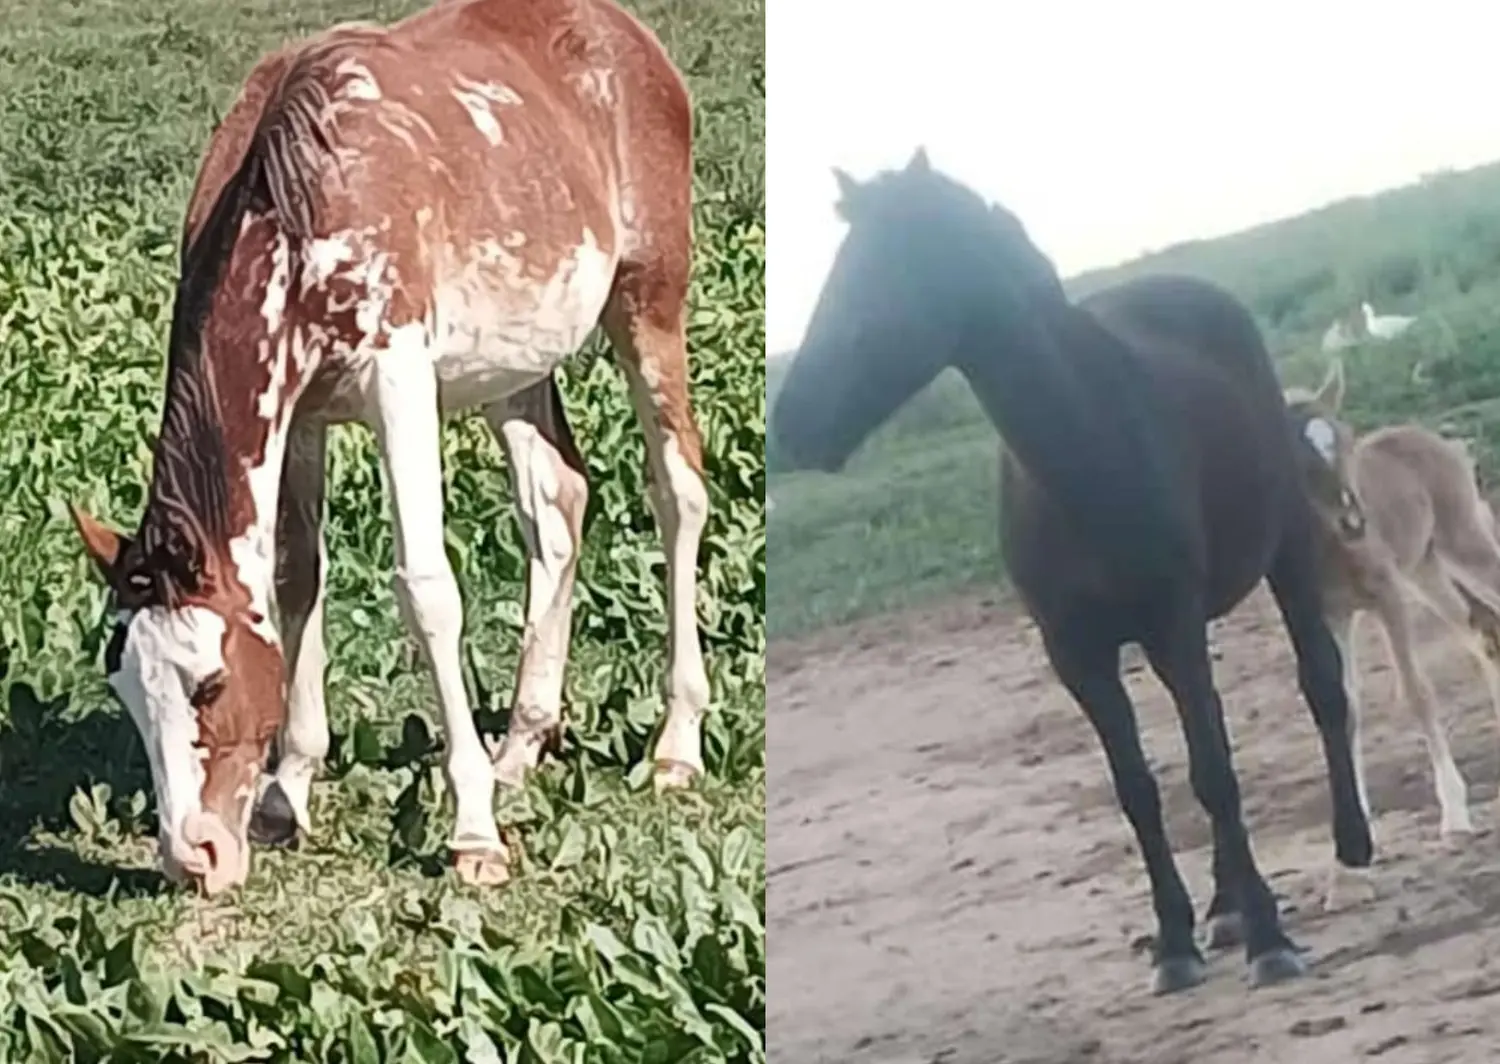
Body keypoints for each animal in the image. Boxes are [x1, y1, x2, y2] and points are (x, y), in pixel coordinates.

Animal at [68, 0, 712, 896]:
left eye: (210, 684)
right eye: (127, 688)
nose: (194, 858)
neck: (294, 194)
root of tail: (628, 37)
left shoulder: (397, 376)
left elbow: (427, 589)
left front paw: (474, 833)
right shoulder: (301, 412)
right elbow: (295, 577)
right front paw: (286, 792)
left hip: (648, 299)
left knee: (677, 491)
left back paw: (676, 743)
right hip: (512, 364)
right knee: (557, 503)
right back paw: (521, 744)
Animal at [770, 148, 1373, 995]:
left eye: (883, 272)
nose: (792, 421)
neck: (1080, 448)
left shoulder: (1174, 622)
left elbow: (1213, 775)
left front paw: (1269, 939)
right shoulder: (1077, 654)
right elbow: (1141, 790)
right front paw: (1177, 943)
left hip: (1283, 556)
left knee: (1318, 686)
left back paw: (1349, 850)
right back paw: (1222, 909)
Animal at [1286, 358, 1500, 838]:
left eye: (1344, 439)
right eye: (1297, 457)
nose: (1354, 522)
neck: (1330, 547)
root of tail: (1436, 439)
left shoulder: (1387, 595)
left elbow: (1417, 691)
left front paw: (1454, 813)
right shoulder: (1333, 616)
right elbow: (1344, 707)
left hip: (1464, 543)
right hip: (1426, 567)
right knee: (1480, 631)